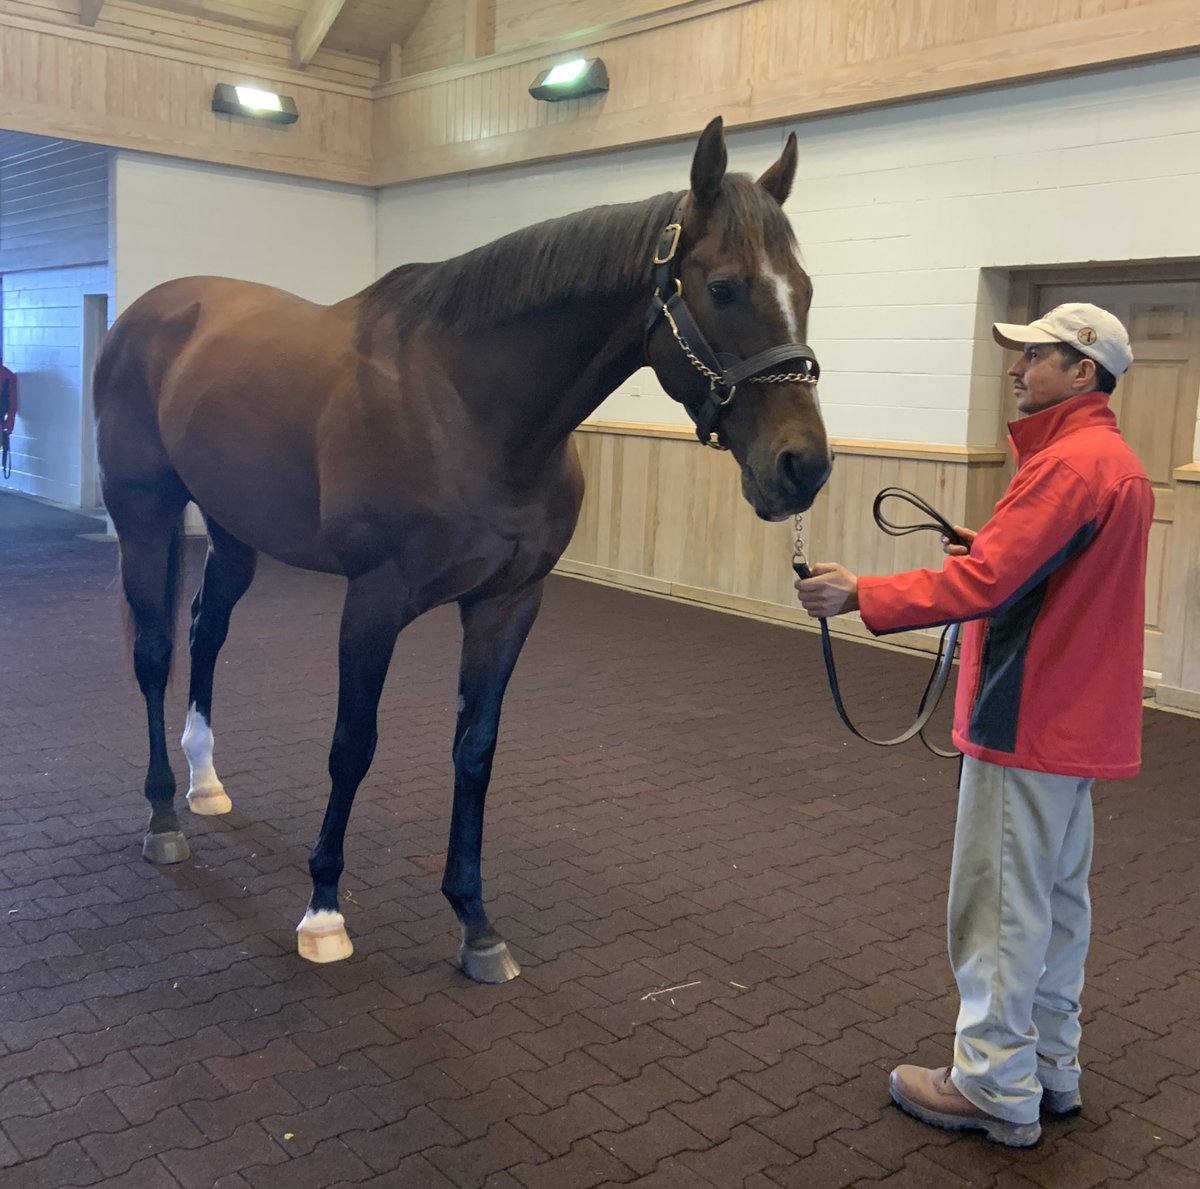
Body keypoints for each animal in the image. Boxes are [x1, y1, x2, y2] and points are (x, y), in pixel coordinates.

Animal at [94, 116, 832, 983]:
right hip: (143, 514)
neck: (468, 404)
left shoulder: (506, 602)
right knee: (153, 652)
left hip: (235, 530)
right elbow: (353, 746)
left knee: (206, 631)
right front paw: (323, 910)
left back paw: (206, 783)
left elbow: (475, 749)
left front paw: (475, 921)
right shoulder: (373, 600)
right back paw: (163, 816)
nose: (803, 466)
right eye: (721, 287)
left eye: (804, 289)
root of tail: (151, 311)